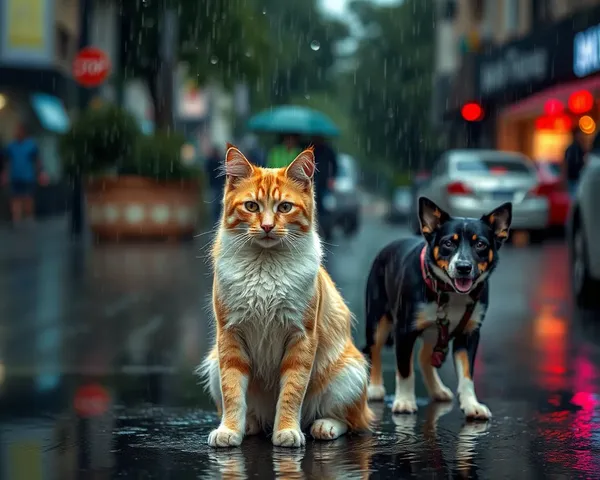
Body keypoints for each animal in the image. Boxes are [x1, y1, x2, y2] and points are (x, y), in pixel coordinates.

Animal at [199, 144, 372, 448]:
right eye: (252, 206)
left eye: (284, 207)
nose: (267, 227)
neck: (265, 265)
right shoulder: (230, 337)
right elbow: (232, 393)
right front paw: (230, 430)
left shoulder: (301, 337)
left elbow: (291, 392)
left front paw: (288, 430)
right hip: (212, 365)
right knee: (253, 414)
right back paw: (250, 425)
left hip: (350, 375)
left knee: (351, 421)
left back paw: (323, 427)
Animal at [360, 197, 510, 418]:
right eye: (448, 243)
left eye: (480, 244)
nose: (463, 267)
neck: (449, 292)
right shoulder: (404, 330)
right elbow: (404, 370)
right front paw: (404, 401)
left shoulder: (469, 333)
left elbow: (467, 375)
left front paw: (471, 404)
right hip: (377, 319)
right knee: (374, 348)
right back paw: (375, 388)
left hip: (435, 332)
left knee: (424, 357)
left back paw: (437, 390)